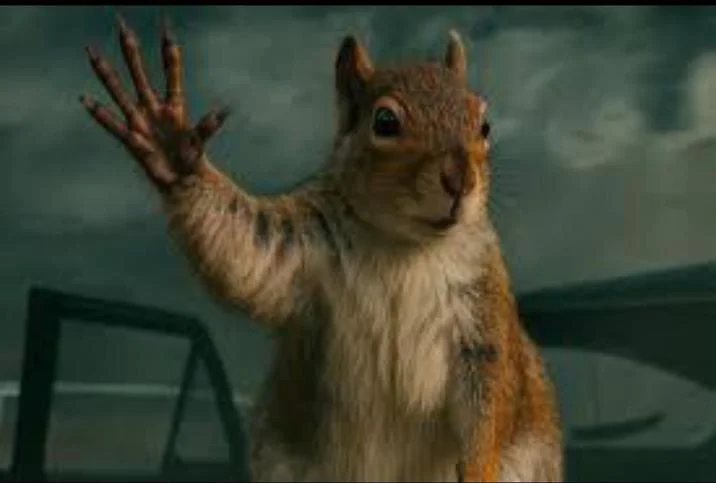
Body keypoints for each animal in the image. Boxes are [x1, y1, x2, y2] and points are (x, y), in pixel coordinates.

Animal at [80, 15, 563, 482]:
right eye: (385, 122)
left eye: (484, 124)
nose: (461, 180)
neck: (404, 242)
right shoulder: (296, 244)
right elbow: (243, 249)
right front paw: (169, 144)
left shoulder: (482, 309)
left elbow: (491, 401)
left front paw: (480, 469)